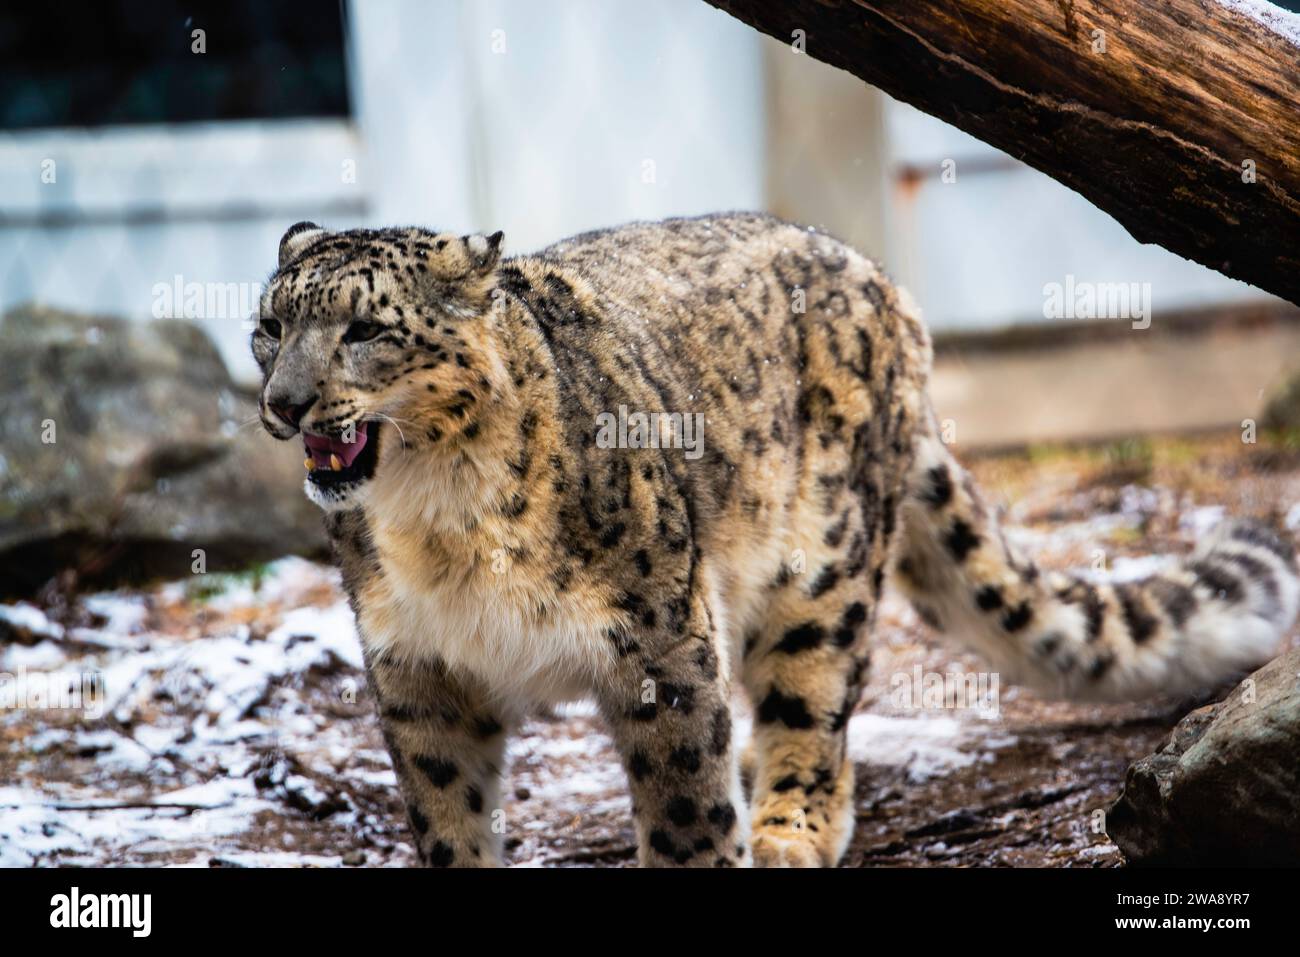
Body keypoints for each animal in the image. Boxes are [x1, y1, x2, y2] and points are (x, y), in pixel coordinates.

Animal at [252, 212, 1299, 867]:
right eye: (268, 324)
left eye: (364, 328)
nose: (284, 402)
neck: (436, 520)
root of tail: (882, 283)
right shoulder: (417, 672)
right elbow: (446, 811)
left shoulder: (659, 638)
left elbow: (683, 803)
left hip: (822, 567)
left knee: (814, 705)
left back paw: (788, 825)